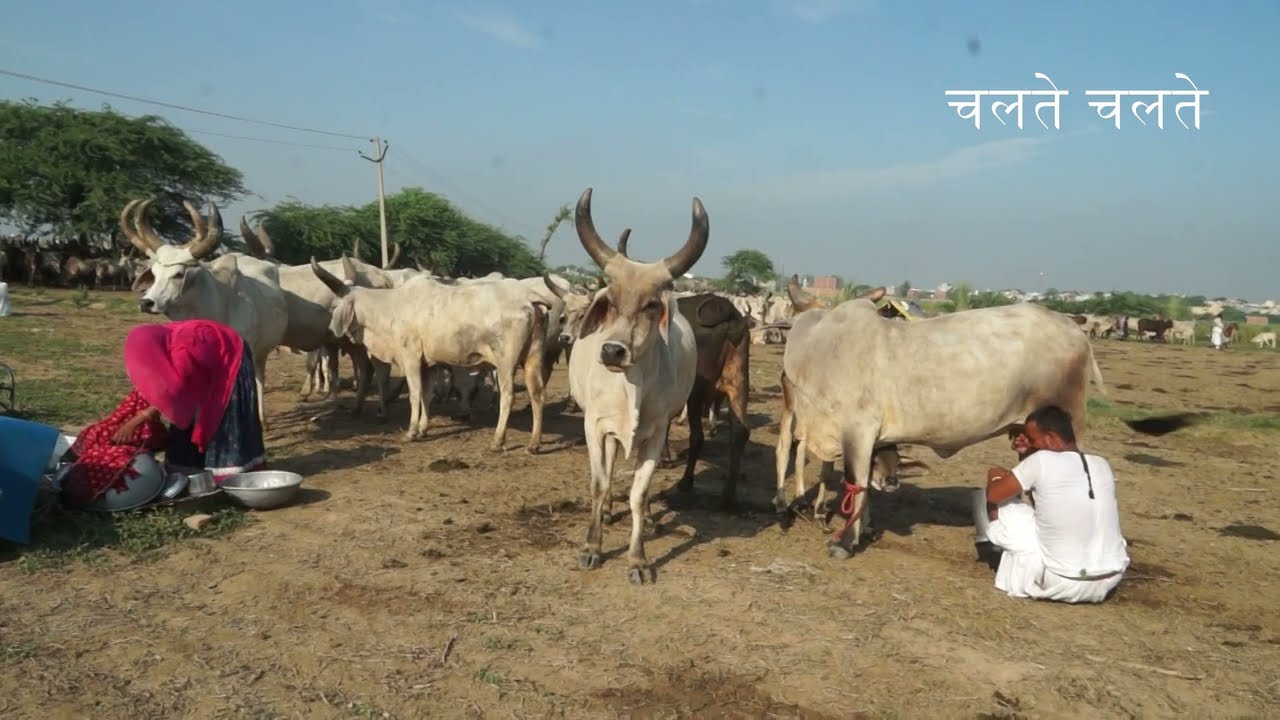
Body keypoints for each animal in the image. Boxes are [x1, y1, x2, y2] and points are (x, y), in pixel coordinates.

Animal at [567, 187, 708, 584]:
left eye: (650, 305)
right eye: (610, 302)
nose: (613, 351)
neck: (629, 388)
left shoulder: (656, 434)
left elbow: (640, 494)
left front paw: (638, 559)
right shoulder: (594, 426)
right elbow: (599, 484)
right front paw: (592, 547)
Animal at [775, 276, 1107, 558]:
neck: (818, 346)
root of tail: (1074, 330)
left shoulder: (859, 429)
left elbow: (855, 482)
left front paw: (845, 541)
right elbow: (867, 479)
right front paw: (865, 528)